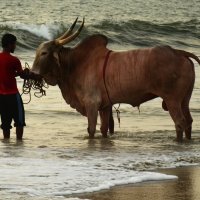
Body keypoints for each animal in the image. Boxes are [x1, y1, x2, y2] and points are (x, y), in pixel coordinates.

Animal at [31, 18, 200, 141]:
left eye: (44, 53)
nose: (31, 73)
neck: (75, 64)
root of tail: (179, 52)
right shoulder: (105, 106)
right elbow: (104, 129)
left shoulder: (92, 103)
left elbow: (91, 129)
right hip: (184, 100)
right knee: (189, 122)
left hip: (172, 100)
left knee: (180, 123)